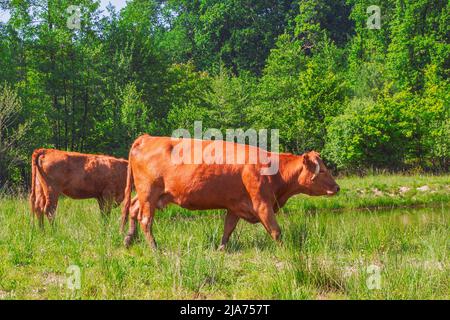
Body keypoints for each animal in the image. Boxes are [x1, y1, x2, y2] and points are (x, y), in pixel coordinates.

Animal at [121, 135, 340, 250]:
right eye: (323, 170)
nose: (337, 187)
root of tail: (147, 138)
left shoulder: (235, 206)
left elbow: (228, 229)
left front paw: (221, 249)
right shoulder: (262, 205)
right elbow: (276, 231)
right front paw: (286, 250)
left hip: (146, 195)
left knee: (133, 209)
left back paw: (128, 239)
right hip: (148, 193)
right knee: (145, 220)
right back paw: (154, 247)